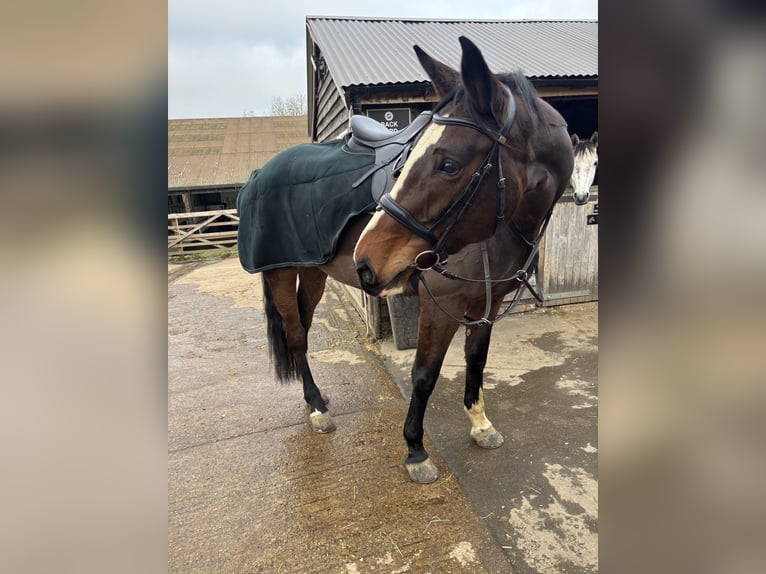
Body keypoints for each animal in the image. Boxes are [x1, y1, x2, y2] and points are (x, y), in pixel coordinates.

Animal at [249, 36, 572, 484]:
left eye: (448, 164)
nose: (365, 259)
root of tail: (261, 172)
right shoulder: (440, 307)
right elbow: (424, 375)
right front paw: (416, 450)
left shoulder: (485, 305)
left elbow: (476, 360)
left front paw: (480, 424)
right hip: (280, 273)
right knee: (295, 335)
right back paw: (317, 410)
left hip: (313, 273)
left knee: (304, 332)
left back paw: (314, 398)